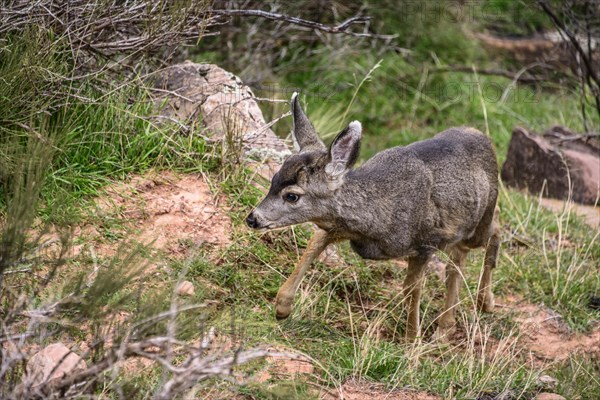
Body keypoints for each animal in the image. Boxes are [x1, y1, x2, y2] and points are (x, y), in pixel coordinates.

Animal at [246, 94, 500, 340]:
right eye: (273, 179)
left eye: (292, 196)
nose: (252, 218)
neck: (377, 218)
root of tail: (483, 137)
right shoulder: (340, 228)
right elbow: (313, 244)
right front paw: (282, 307)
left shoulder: (425, 242)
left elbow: (411, 288)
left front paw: (412, 339)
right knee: (457, 261)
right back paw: (446, 327)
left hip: (478, 223)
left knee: (494, 230)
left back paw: (484, 303)